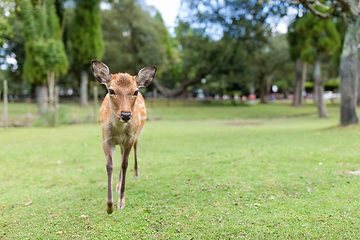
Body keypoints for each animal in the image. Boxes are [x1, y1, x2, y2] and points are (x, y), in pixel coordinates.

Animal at [91, 60, 156, 214]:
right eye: (111, 90)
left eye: (135, 91)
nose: (126, 114)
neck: (119, 130)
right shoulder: (106, 139)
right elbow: (110, 165)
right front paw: (109, 206)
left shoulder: (130, 139)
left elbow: (125, 164)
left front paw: (121, 202)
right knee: (120, 156)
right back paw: (117, 186)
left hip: (137, 133)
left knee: (134, 149)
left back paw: (136, 173)